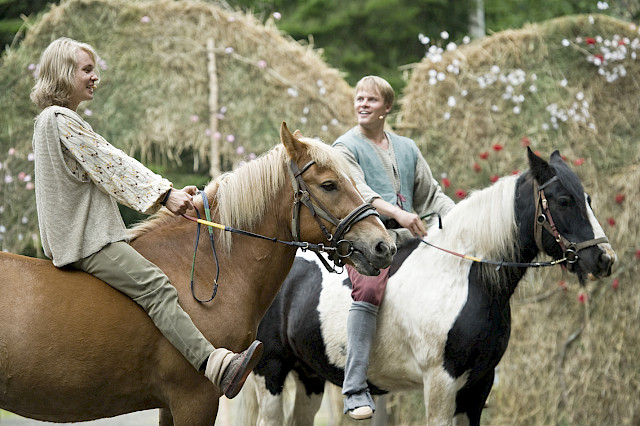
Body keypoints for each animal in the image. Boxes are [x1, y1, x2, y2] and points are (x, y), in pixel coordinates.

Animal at [240, 148, 616, 424]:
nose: (604, 258)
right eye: (564, 200)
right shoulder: (441, 385)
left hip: (309, 379)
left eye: (587, 198)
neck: (460, 278)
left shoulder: (477, 388)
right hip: (270, 373)